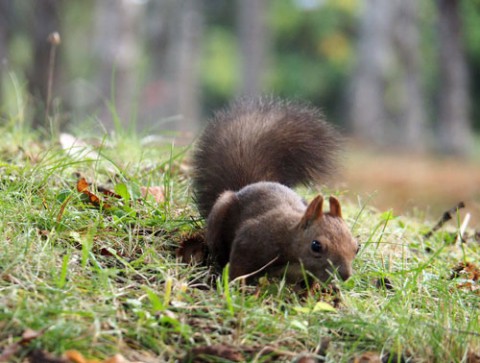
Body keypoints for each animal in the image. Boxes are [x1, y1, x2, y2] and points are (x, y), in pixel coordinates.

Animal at [193, 98, 358, 286]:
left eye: (356, 248)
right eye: (316, 246)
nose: (345, 275)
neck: (291, 237)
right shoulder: (251, 239)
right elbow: (237, 268)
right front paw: (238, 287)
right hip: (219, 216)